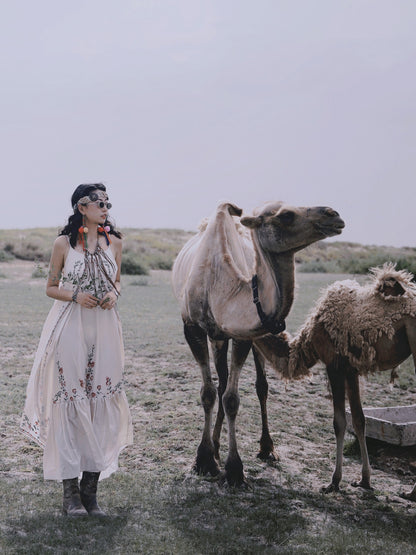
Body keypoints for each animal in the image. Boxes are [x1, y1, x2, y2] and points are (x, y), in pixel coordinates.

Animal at [172, 201, 344, 486]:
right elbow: (208, 393)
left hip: (234, 336)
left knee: (258, 386)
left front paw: (233, 469)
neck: (217, 280)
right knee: (221, 381)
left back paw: (266, 448)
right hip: (217, 336)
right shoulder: (192, 328)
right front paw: (205, 460)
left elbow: (232, 398)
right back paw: (216, 447)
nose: (334, 215)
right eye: (286, 215)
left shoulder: (243, 334)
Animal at [282, 264, 416, 500]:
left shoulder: (334, 364)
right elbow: (359, 419)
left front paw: (333, 482)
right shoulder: (351, 369)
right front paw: (364, 480)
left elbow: (339, 422)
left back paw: (410, 492)